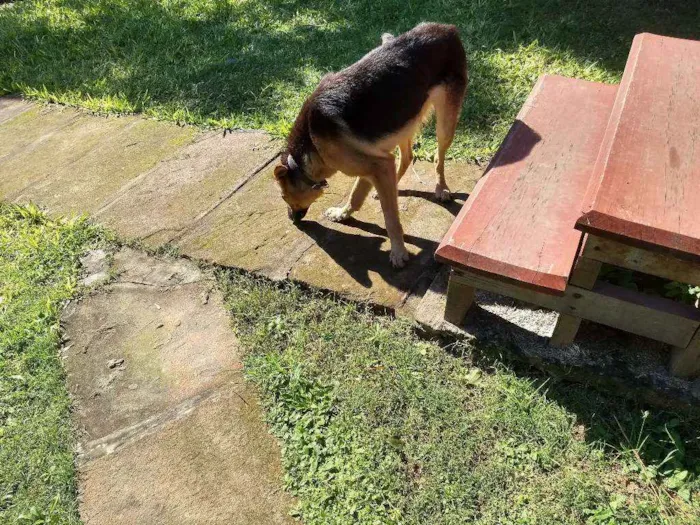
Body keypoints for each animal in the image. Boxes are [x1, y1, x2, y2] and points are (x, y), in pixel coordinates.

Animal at [272, 21, 464, 266]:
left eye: (283, 196)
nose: (292, 221)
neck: (310, 146)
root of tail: (446, 28)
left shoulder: (377, 165)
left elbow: (390, 218)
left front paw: (398, 251)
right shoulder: (373, 165)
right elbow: (356, 196)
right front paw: (343, 213)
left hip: (444, 125)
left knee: (439, 157)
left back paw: (441, 188)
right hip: (403, 124)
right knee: (406, 157)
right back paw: (395, 185)